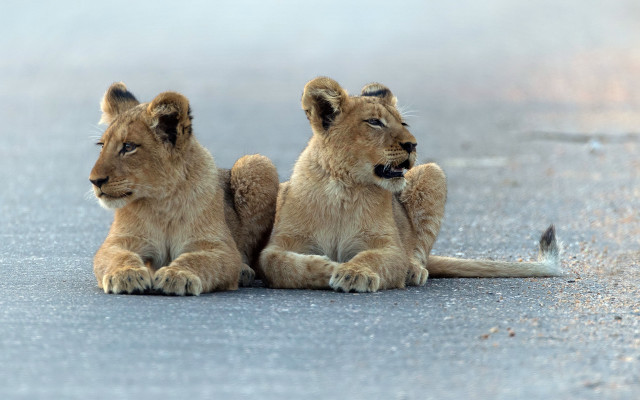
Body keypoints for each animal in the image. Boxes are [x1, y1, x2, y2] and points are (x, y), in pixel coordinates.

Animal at [89, 82, 279, 295]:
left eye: (128, 147)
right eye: (102, 145)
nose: (94, 181)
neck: (161, 201)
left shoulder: (221, 248)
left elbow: (198, 259)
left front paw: (178, 275)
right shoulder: (116, 242)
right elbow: (117, 256)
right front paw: (126, 274)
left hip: (257, 164)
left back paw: (244, 271)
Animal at [258, 77, 561, 292]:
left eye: (403, 123)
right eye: (374, 122)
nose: (412, 145)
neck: (343, 188)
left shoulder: (391, 249)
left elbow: (372, 258)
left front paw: (353, 273)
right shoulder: (278, 244)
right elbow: (280, 264)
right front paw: (328, 267)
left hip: (433, 173)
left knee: (419, 251)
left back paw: (413, 271)